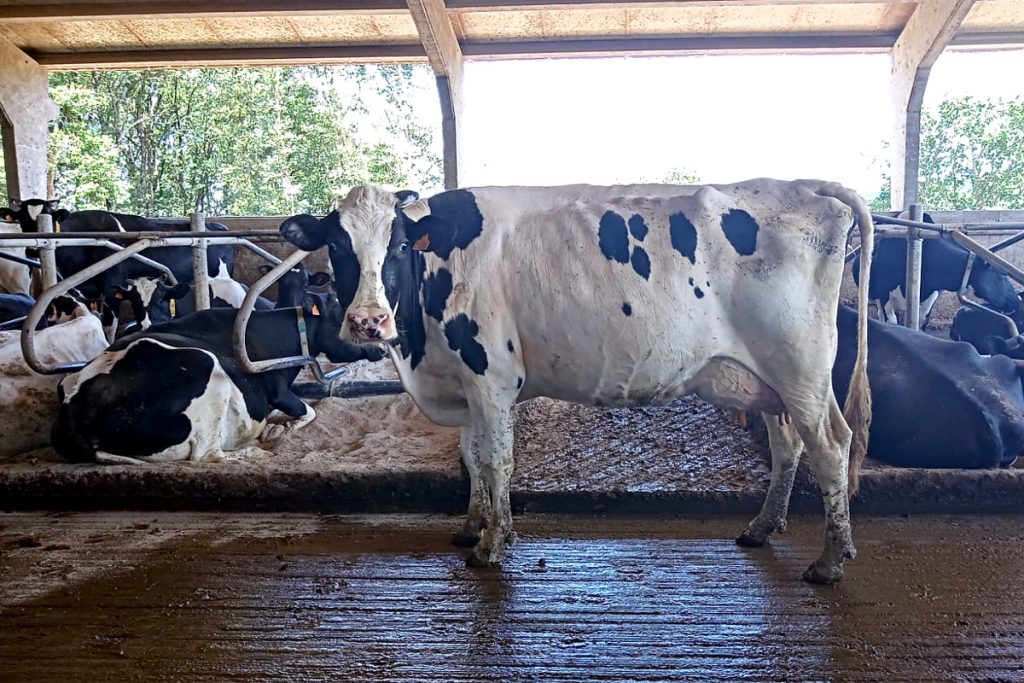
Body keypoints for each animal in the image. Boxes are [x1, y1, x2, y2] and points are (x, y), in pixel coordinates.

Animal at [52, 294, 383, 464]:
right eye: (351, 321)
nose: (381, 345)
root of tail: (73, 412)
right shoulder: (277, 391)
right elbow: (309, 412)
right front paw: (278, 431)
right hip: (208, 367)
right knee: (208, 455)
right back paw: (255, 450)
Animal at [279, 180, 875, 584]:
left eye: (399, 246)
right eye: (338, 247)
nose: (368, 321)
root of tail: (799, 184)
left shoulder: (491, 377)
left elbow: (496, 461)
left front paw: (493, 543)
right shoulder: (466, 384)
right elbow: (471, 457)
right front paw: (472, 525)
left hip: (801, 366)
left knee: (830, 446)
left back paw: (830, 560)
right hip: (763, 378)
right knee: (787, 444)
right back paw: (762, 527)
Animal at [853, 212, 1018, 328]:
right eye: (1003, 275)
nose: (1017, 299)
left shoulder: (933, 292)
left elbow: (922, 320)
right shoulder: (883, 292)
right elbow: (891, 321)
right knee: (880, 313)